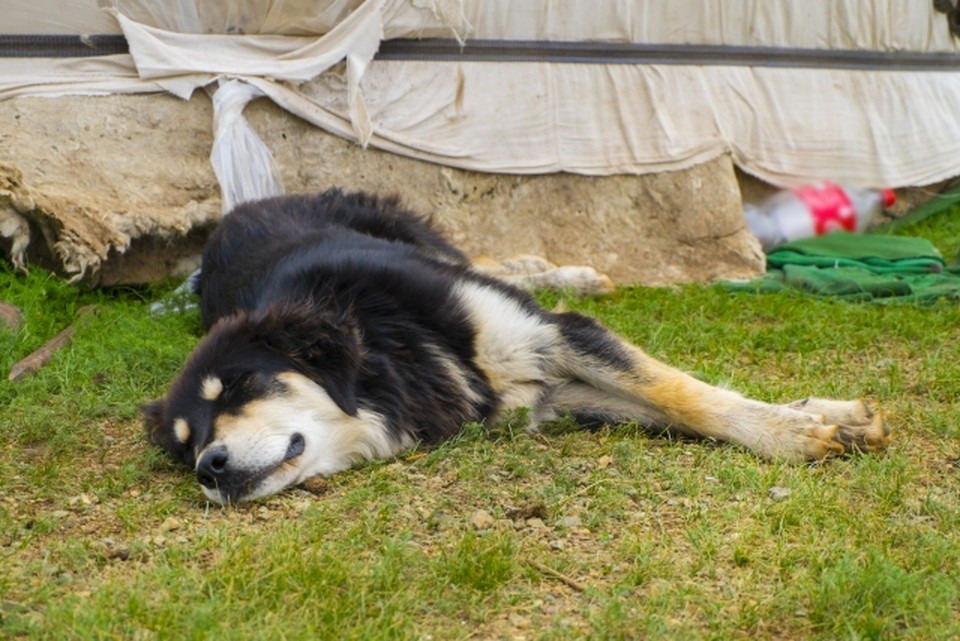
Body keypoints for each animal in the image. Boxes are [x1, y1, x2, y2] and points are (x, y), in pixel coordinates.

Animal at [144, 188, 892, 502]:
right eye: (185, 445)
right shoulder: (551, 391)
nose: (210, 468)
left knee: (483, 261)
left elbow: (684, 393)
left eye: (240, 384)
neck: (385, 350)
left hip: (426, 240)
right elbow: (676, 405)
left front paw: (796, 432)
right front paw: (821, 417)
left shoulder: (553, 334)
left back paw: (571, 271)